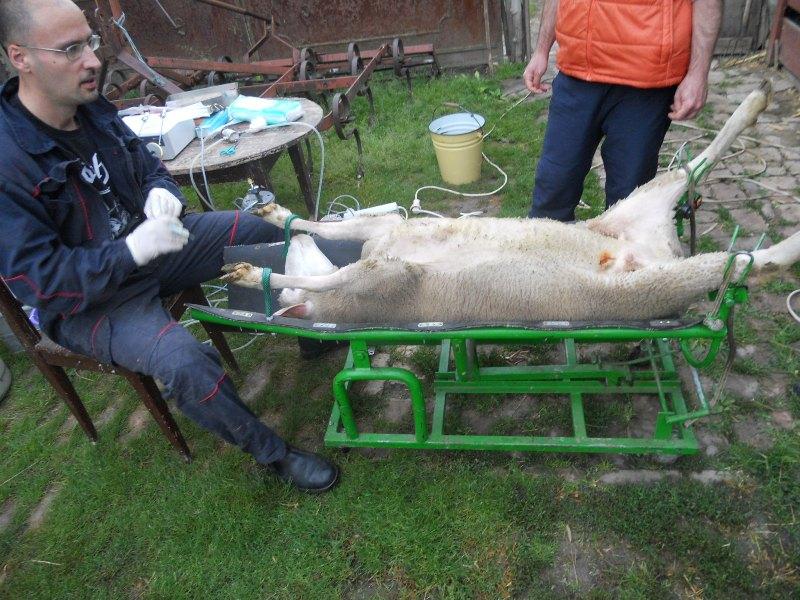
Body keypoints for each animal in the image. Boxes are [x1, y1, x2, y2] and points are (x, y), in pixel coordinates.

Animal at [222, 82, 800, 324]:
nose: (289, 244)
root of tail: (661, 247)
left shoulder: (383, 269)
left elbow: (335, 247)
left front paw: (259, 262)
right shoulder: (385, 261)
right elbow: (337, 237)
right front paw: (277, 225)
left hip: (650, 236)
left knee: (727, 232)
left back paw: (754, 108)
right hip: (648, 253)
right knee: (732, 246)